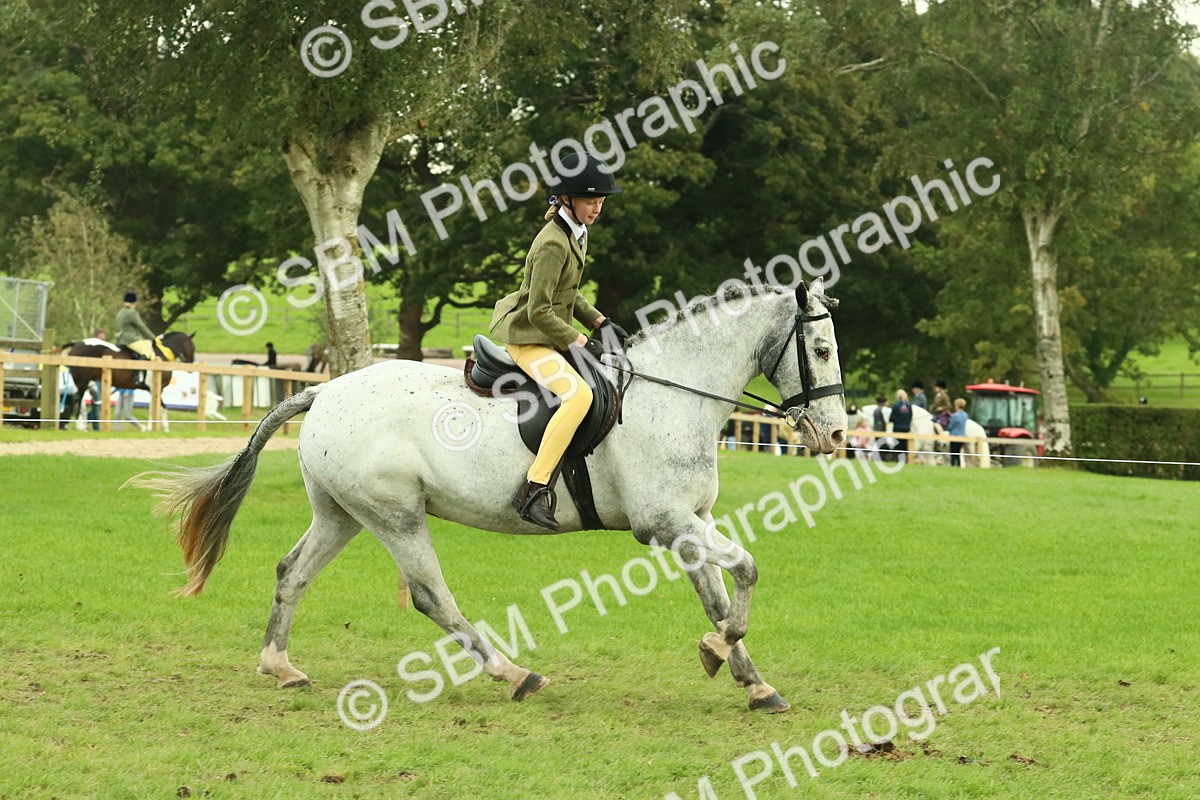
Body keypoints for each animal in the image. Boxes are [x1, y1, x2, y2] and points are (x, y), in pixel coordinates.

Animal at [62, 332, 196, 429]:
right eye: (192, 347)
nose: (191, 364)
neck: (162, 354)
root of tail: (77, 343)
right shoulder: (156, 388)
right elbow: (160, 407)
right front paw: (160, 428)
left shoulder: (154, 389)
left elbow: (154, 407)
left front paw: (155, 428)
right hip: (81, 381)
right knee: (77, 400)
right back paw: (79, 425)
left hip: (83, 381)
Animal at [132, 281, 847, 713]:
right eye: (819, 348)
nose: (836, 435)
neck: (671, 394)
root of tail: (325, 390)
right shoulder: (666, 522)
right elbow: (746, 571)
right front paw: (717, 653)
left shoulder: (692, 520)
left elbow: (718, 596)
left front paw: (752, 681)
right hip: (395, 515)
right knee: (431, 597)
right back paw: (514, 673)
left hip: (343, 514)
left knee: (292, 573)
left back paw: (280, 666)